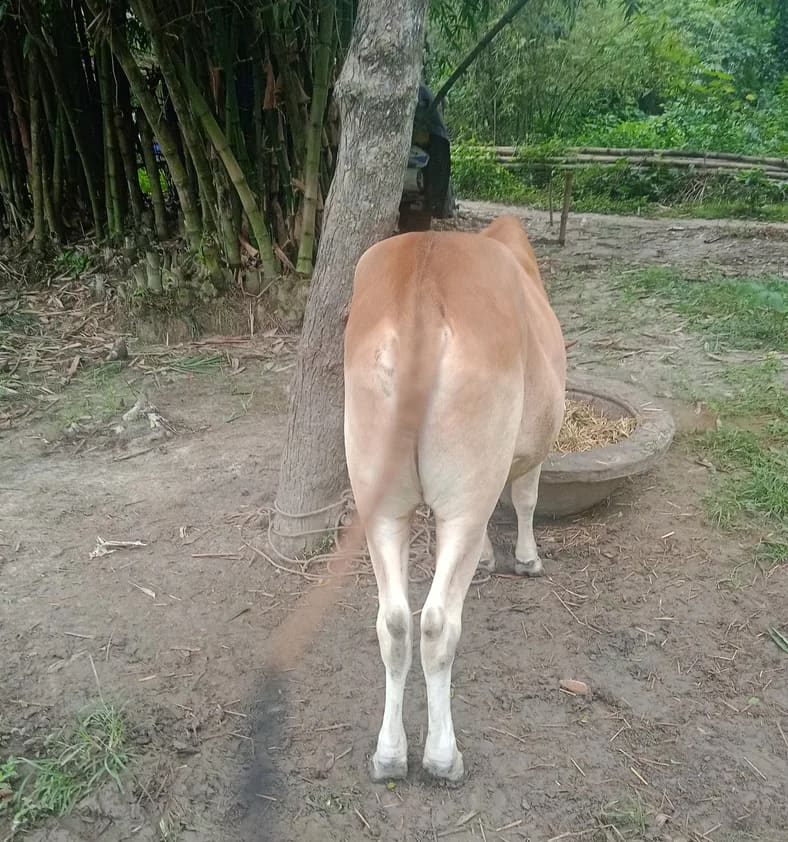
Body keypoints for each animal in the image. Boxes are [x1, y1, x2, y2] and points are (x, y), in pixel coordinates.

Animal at [343, 215, 566, 783]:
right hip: (466, 491)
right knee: (438, 622)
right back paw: (442, 757)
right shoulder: (531, 451)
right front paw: (526, 560)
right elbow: (526, 498)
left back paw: (389, 754)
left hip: (379, 500)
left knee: (395, 620)